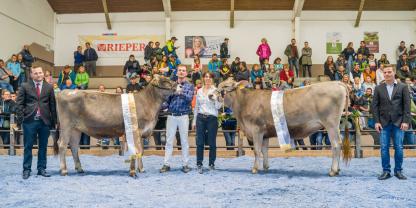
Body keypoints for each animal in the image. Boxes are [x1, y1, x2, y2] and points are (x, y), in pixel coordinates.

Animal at [211, 79, 352, 176]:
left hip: (331, 124)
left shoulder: (256, 129)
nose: (210, 95)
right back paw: (338, 169)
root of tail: (336, 83)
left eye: (225, 86)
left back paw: (333, 171)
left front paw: (255, 169)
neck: (245, 102)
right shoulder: (265, 133)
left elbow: (256, 150)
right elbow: (264, 150)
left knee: (336, 145)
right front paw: (266, 167)